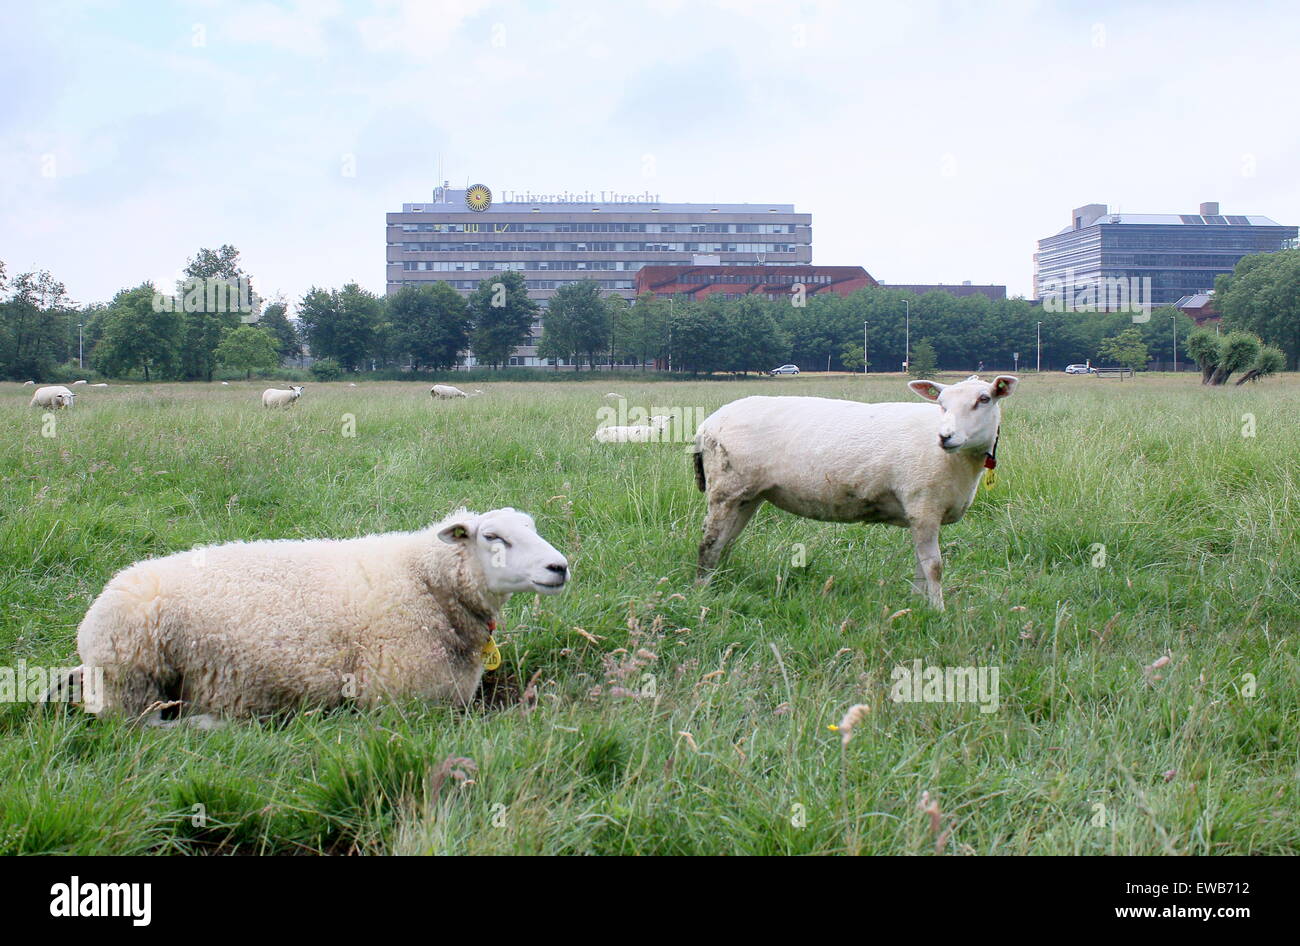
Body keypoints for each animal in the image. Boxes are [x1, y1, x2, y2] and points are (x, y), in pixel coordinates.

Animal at [70, 507, 569, 726]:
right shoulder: (401, 700)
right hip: (131, 681)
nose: (559, 567)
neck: (426, 581)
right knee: (142, 729)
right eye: (492, 537)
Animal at [692, 375, 1019, 610]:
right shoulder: (923, 505)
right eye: (942, 403)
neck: (959, 461)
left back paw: (720, 583)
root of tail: (707, 424)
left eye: (984, 399)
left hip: (748, 495)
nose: (945, 437)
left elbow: (920, 565)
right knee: (709, 542)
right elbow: (934, 567)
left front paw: (918, 606)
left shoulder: (922, 513)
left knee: (726, 541)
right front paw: (939, 612)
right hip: (726, 488)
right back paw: (703, 591)